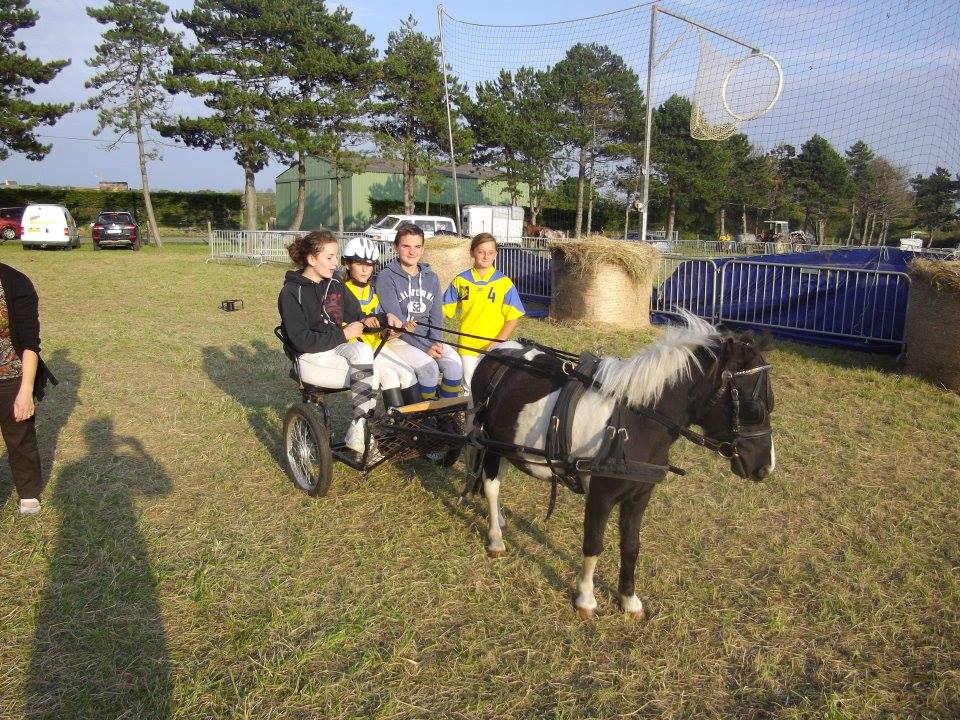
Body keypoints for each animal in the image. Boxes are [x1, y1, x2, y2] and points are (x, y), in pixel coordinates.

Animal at [468, 316, 776, 620]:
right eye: (754, 408)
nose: (766, 467)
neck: (632, 423)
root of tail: (498, 352)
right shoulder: (600, 496)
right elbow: (593, 544)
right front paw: (585, 598)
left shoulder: (639, 496)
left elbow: (631, 547)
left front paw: (628, 599)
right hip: (489, 441)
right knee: (491, 486)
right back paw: (496, 539)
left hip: (505, 446)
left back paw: (499, 520)